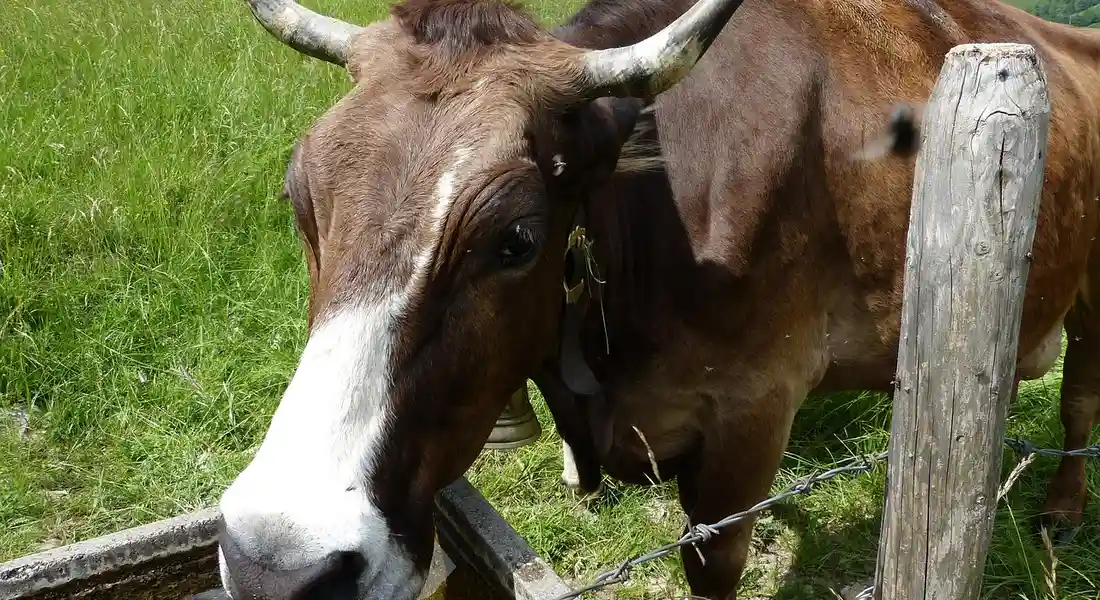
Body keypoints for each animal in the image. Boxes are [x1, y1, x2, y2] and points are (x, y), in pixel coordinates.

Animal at [216, 0, 1100, 597]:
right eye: (301, 200)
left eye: (517, 239)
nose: (273, 565)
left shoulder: (754, 411)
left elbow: (711, 560)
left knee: (1080, 401)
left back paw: (1060, 509)